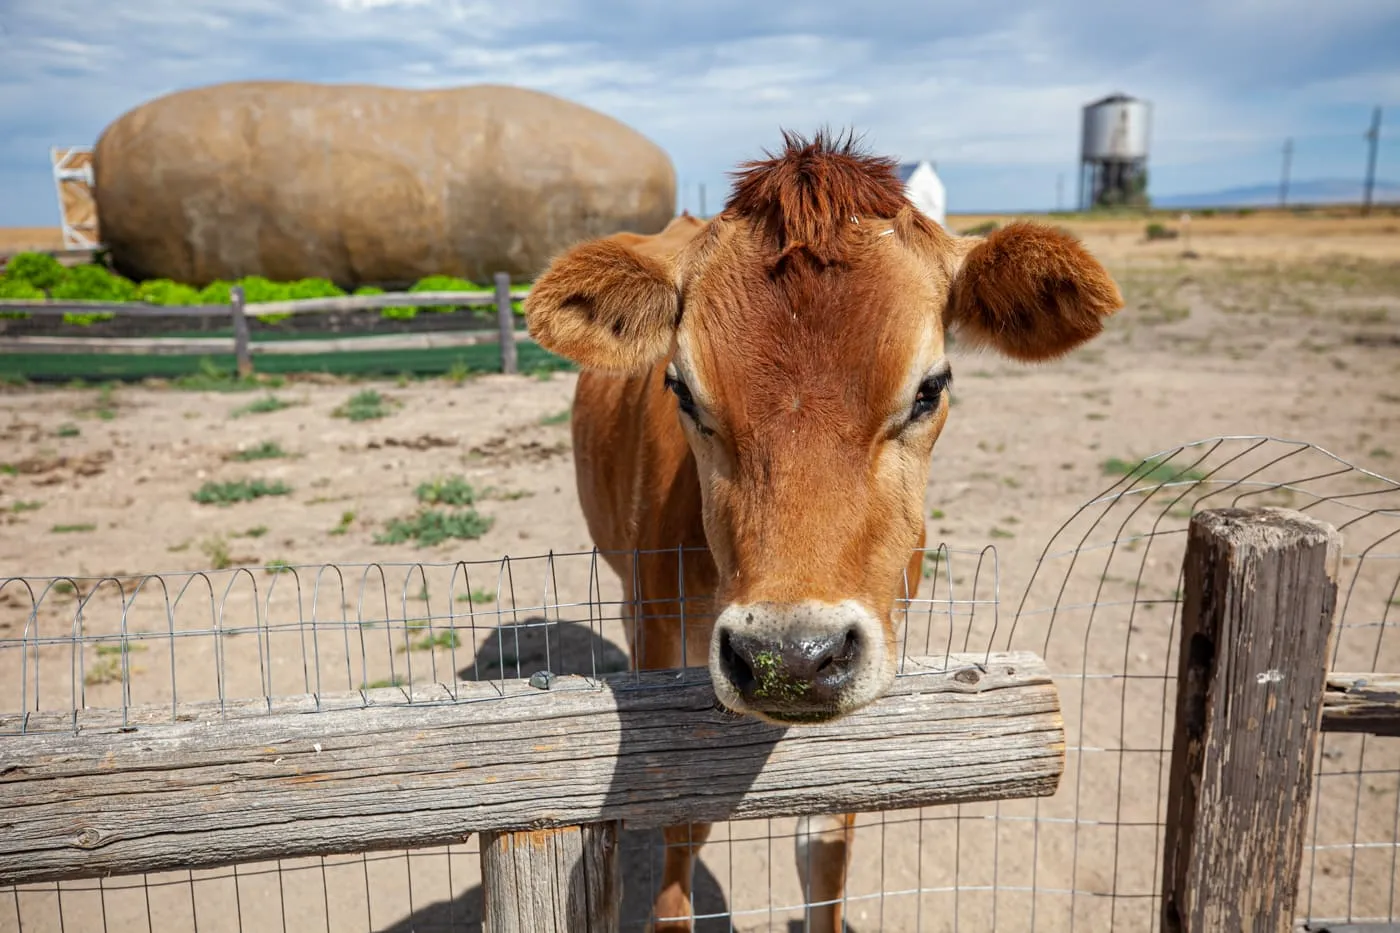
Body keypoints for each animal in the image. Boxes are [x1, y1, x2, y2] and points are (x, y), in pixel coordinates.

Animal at [520, 130, 1120, 930]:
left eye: (930, 388)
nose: (789, 657)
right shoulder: (664, 641)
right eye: (681, 388)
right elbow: (682, 817)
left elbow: (828, 843)